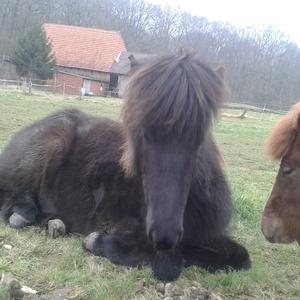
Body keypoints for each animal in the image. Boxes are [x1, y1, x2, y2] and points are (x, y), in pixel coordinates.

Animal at [0, 52, 251, 282]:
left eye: (199, 137)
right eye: (139, 134)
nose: (165, 236)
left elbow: (240, 257)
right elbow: (163, 262)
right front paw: (99, 242)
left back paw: (55, 224)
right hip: (49, 148)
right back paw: (23, 213)